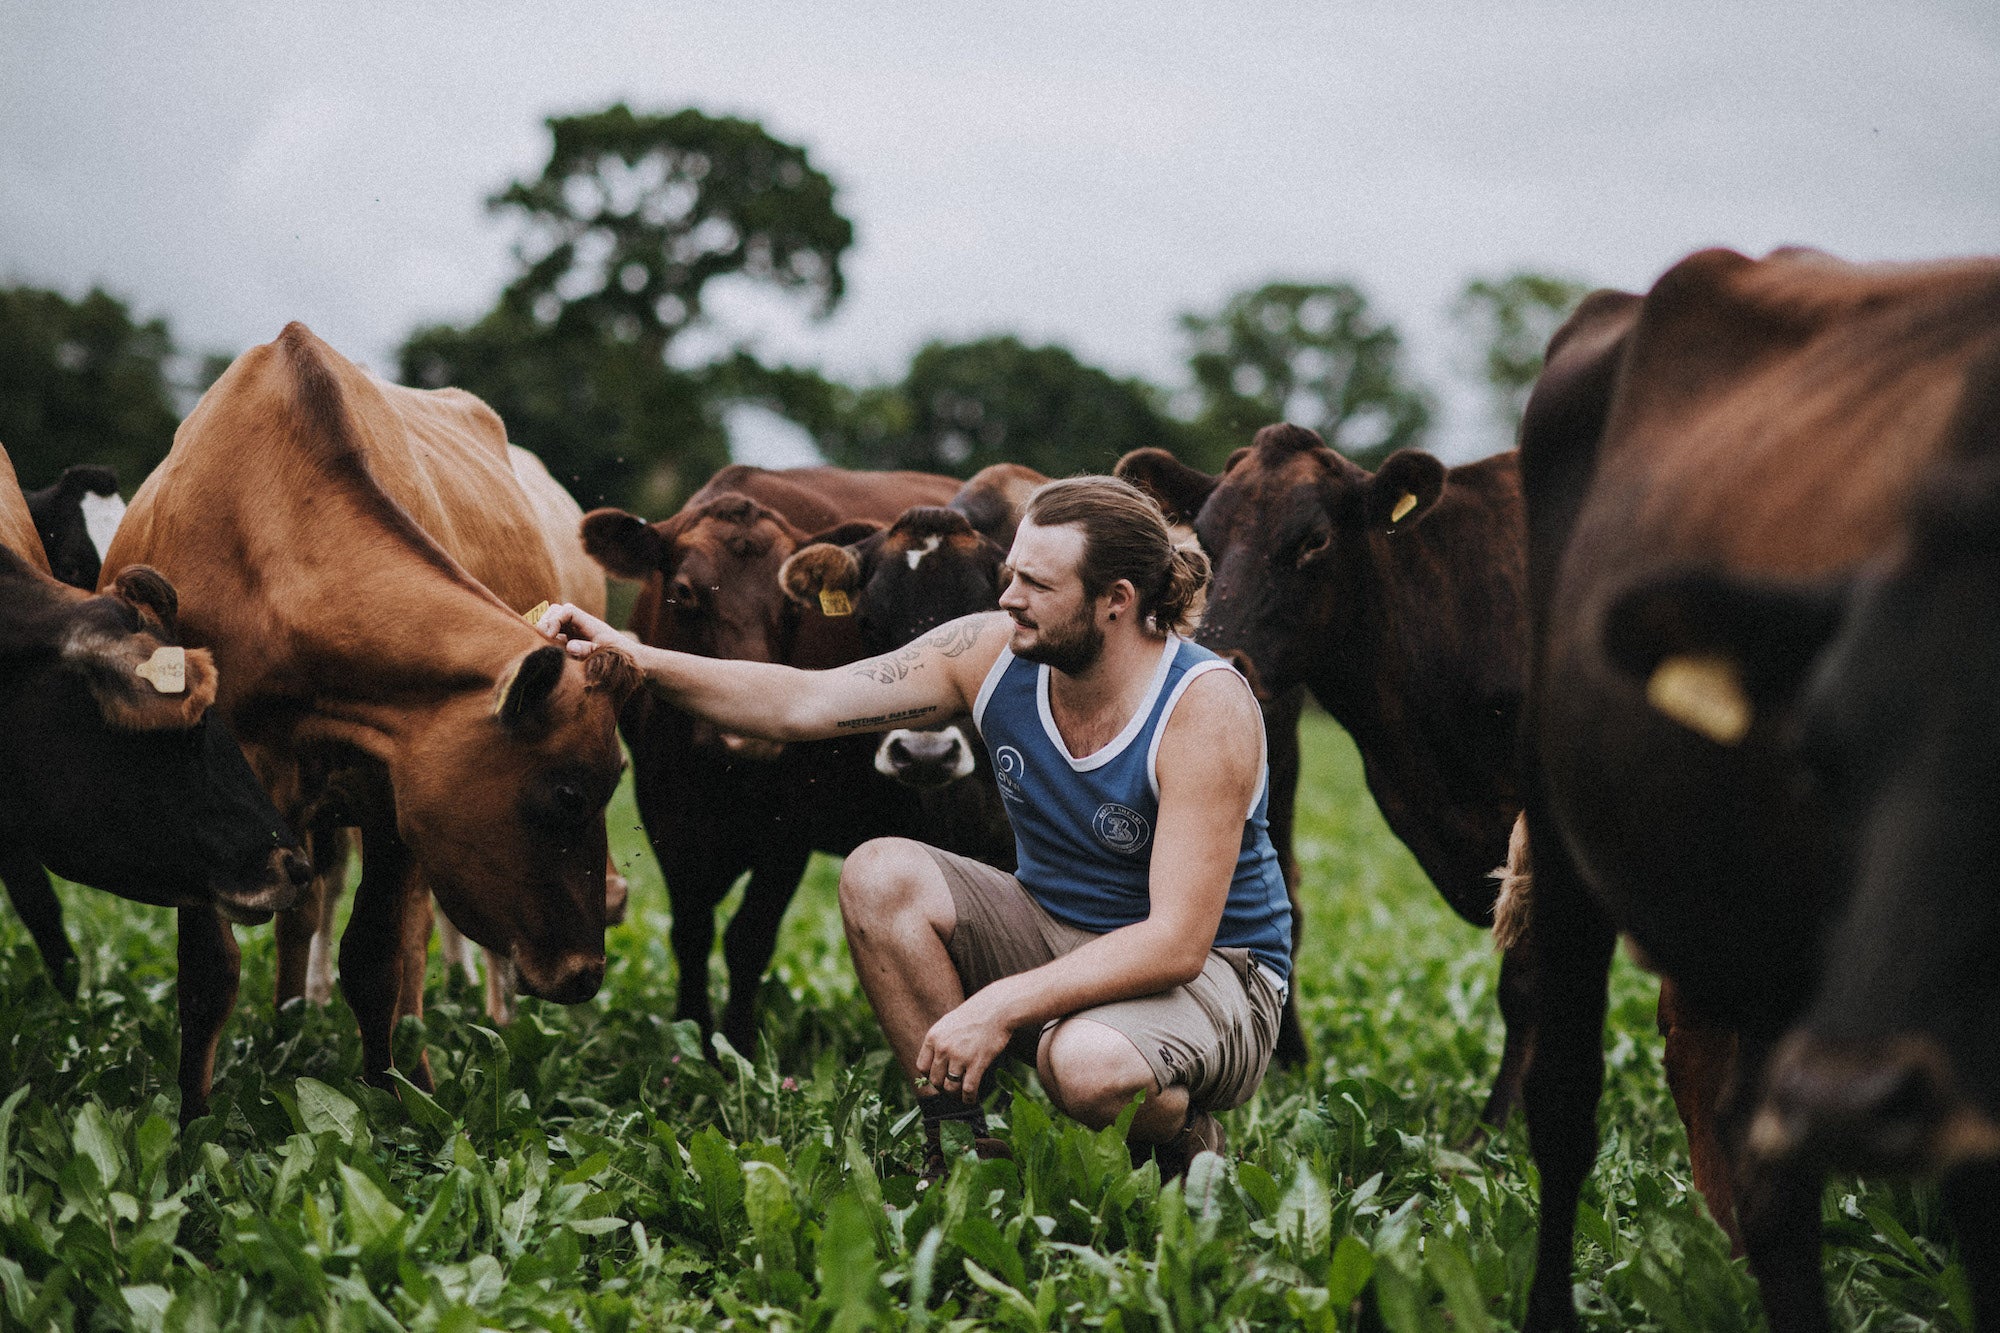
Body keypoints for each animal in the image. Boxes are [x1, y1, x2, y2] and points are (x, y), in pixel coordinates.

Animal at [103, 322, 640, 1112]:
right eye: (569, 793)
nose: (585, 971)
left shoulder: (393, 808)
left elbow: (377, 959)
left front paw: (396, 1098)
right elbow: (208, 974)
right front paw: (193, 1118)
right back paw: (290, 1021)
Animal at [580, 464, 1016, 1048]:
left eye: (790, 606)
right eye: (683, 591)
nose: (749, 736)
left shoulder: (789, 835)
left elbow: (748, 940)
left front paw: (735, 1044)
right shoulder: (665, 817)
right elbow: (691, 934)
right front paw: (696, 1035)